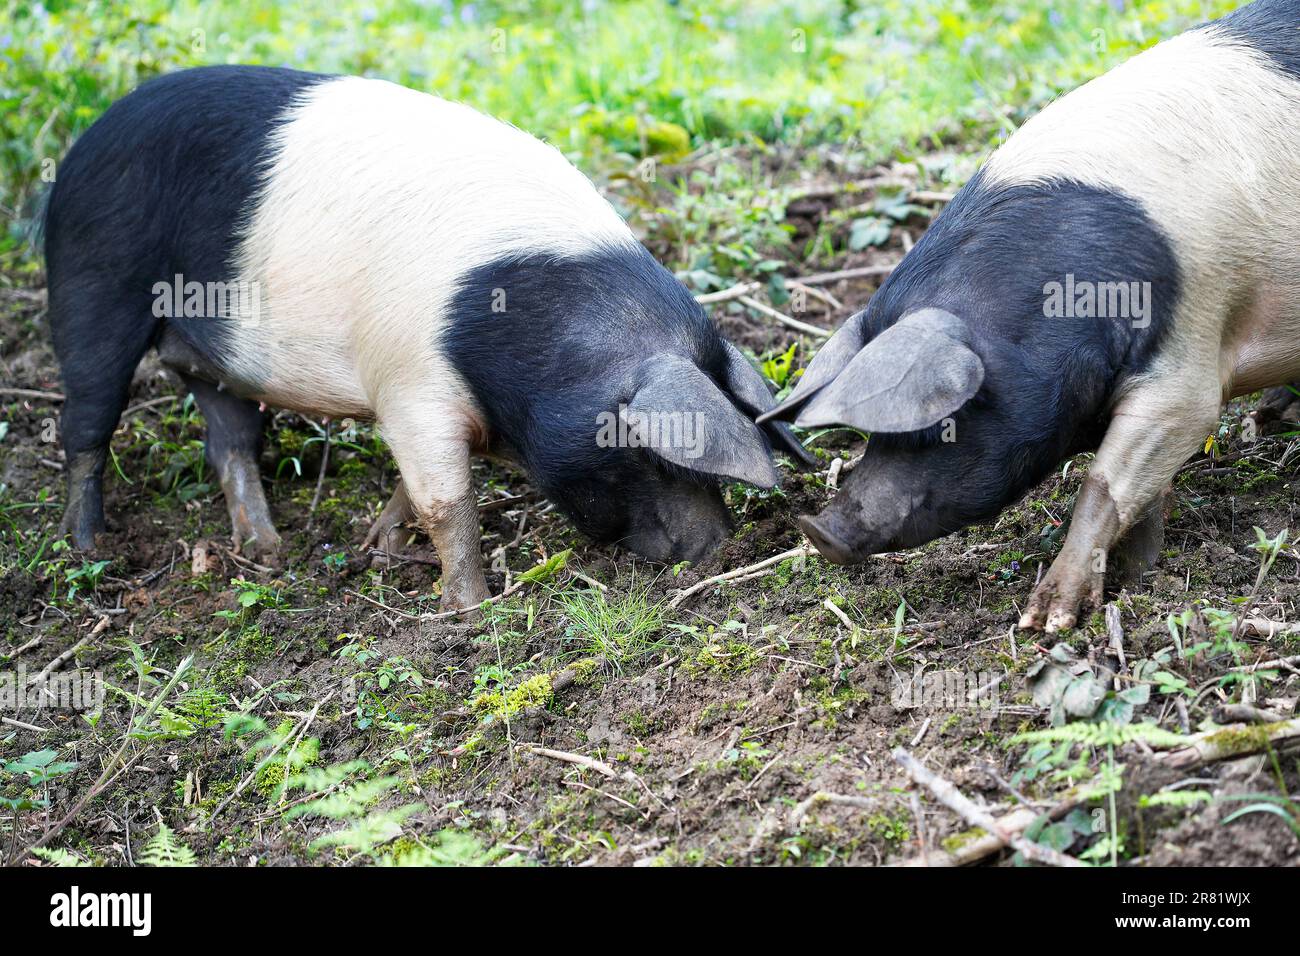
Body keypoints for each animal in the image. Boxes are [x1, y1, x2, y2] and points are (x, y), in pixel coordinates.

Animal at [48, 63, 811, 608]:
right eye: (652, 457)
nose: (716, 548)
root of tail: (83, 145)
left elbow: (412, 490)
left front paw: (380, 549)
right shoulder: (413, 385)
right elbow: (447, 504)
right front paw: (467, 610)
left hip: (219, 357)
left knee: (229, 438)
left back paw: (267, 551)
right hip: (93, 283)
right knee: (86, 424)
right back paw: (90, 550)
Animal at [759, 1, 1300, 634]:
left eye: (944, 426)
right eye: (874, 434)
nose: (819, 531)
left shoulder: (1187, 360)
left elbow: (1107, 481)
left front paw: (1046, 621)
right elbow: (1142, 492)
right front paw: (1137, 576)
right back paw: (1269, 417)